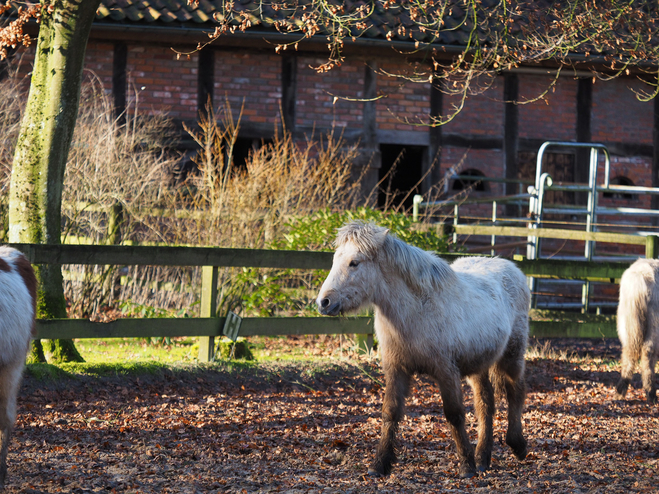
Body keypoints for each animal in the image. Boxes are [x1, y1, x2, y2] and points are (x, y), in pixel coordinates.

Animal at [318, 223, 528, 478]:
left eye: (354, 262)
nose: (324, 302)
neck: (417, 310)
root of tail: (512, 269)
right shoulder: (396, 370)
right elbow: (390, 413)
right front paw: (379, 464)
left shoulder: (446, 371)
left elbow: (454, 414)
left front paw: (465, 466)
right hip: (479, 365)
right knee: (485, 403)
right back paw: (482, 458)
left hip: (512, 356)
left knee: (516, 391)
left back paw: (517, 445)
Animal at [612, 256, 659, 404]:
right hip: (654, 325)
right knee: (648, 353)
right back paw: (651, 394)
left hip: (628, 325)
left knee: (629, 353)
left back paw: (620, 392)